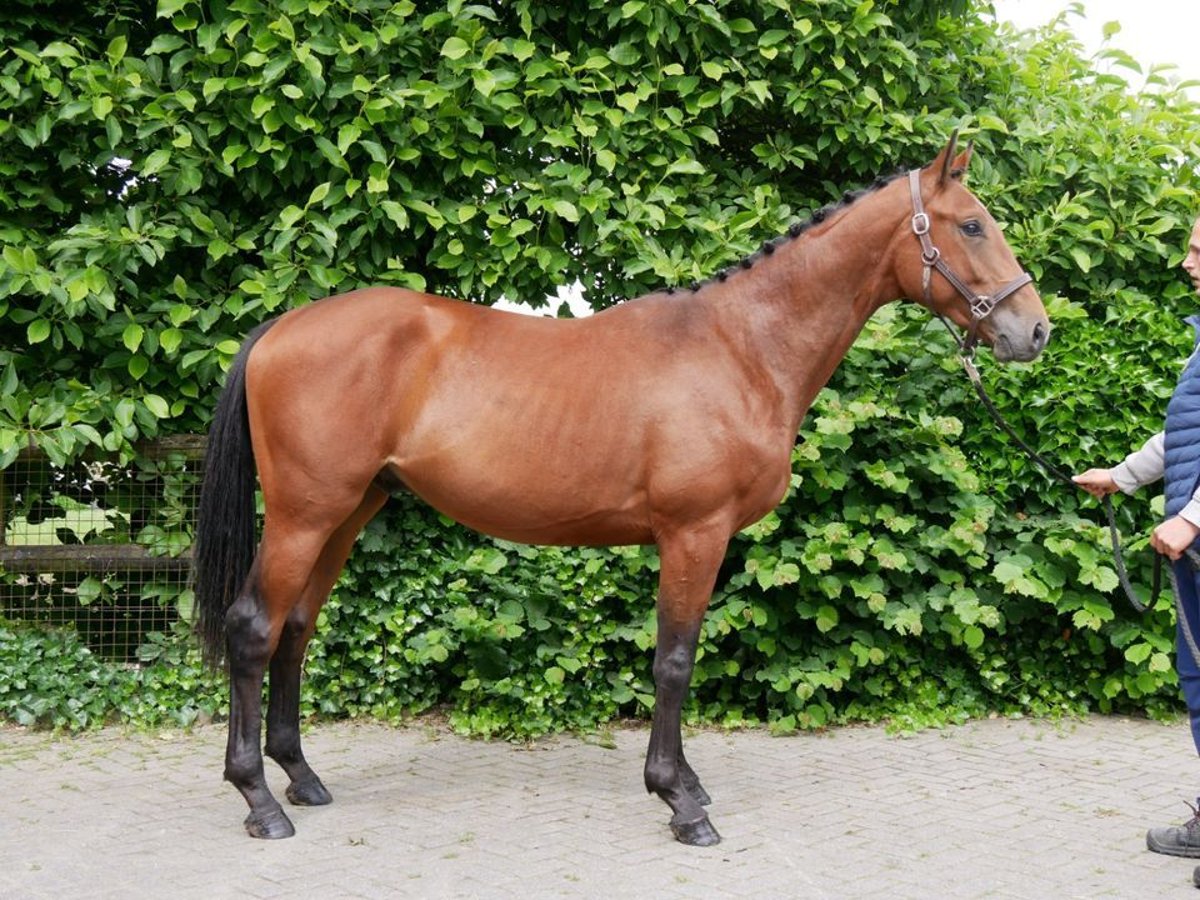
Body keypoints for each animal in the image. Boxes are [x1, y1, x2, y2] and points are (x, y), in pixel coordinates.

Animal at [192, 133, 1046, 844]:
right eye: (972, 226)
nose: (1033, 331)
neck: (741, 347)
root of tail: (279, 329)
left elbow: (679, 659)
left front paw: (686, 783)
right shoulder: (693, 533)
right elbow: (675, 660)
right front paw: (681, 802)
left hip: (346, 512)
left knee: (296, 628)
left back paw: (301, 779)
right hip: (305, 515)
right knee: (253, 628)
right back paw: (260, 802)